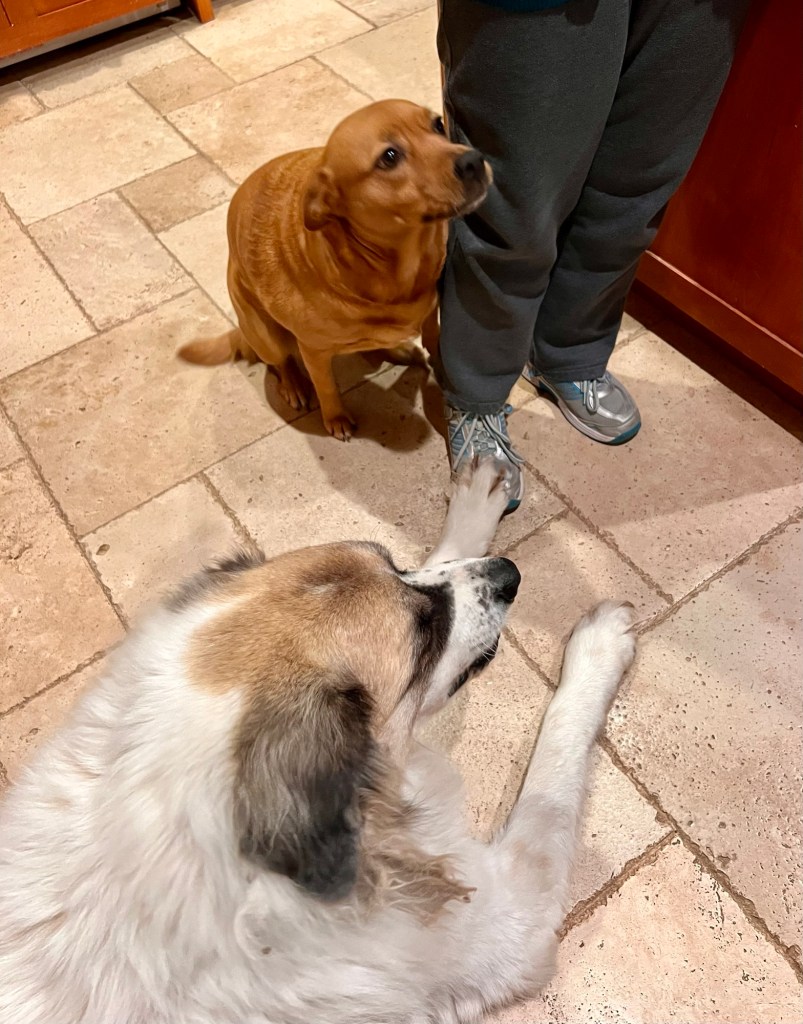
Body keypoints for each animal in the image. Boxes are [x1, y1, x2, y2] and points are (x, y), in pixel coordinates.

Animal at [0, 461, 636, 1024]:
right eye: (424, 632)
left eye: (395, 564)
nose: (508, 573)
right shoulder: (505, 914)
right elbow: (550, 782)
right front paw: (601, 647)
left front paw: (473, 506)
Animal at [177, 99, 491, 441]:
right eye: (390, 157)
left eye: (438, 124)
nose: (474, 160)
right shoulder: (313, 350)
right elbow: (326, 385)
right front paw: (335, 418)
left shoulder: (431, 310)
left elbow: (435, 342)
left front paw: (441, 371)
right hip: (265, 334)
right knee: (281, 362)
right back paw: (294, 384)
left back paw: (398, 349)